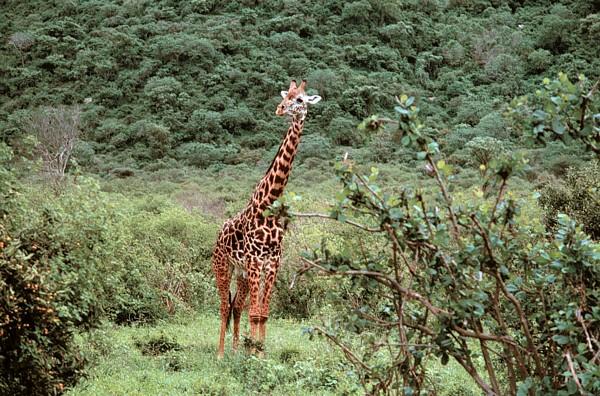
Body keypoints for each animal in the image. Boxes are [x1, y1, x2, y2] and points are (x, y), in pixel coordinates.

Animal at [213, 79, 322, 358]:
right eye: (286, 96)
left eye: (300, 100)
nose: (280, 109)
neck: (269, 201)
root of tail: (218, 233)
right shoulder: (255, 261)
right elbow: (254, 313)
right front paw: (254, 356)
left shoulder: (272, 263)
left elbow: (262, 313)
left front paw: (260, 354)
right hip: (223, 266)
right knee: (223, 306)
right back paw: (221, 354)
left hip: (240, 273)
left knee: (236, 306)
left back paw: (236, 350)